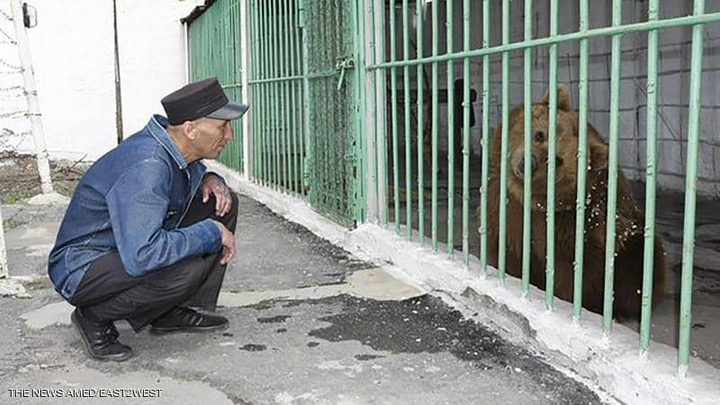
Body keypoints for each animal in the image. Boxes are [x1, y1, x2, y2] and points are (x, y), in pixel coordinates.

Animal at [480, 85, 668, 318]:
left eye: (558, 160)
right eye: (540, 134)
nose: (528, 163)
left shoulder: (573, 230)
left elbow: (571, 274)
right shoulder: (504, 208)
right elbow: (506, 247)